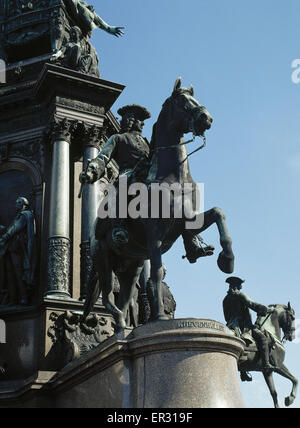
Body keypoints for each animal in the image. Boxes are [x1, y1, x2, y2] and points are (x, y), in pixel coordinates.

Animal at [83, 77, 236, 332]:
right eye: (182, 101)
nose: (206, 118)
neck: (173, 177)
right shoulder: (154, 234)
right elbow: (156, 273)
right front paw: (161, 317)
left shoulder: (188, 222)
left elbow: (218, 213)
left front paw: (227, 260)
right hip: (104, 260)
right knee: (108, 297)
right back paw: (120, 327)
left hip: (131, 266)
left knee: (125, 298)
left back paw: (124, 327)